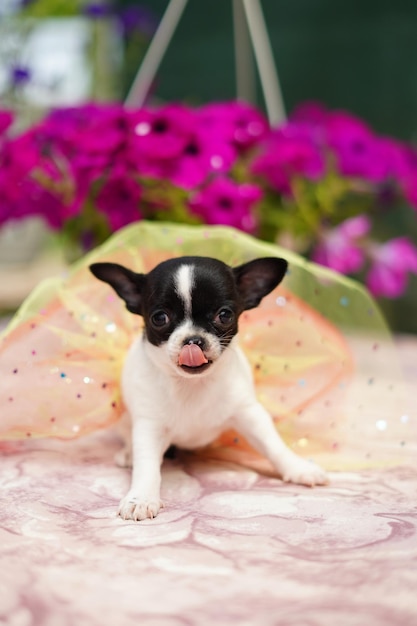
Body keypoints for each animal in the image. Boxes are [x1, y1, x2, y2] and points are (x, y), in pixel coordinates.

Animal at [89, 256, 326, 520]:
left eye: (225, 315)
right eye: (159, 318)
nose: (193, 341)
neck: (192, 384)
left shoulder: (250, 414)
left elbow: (273, 445)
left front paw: (298, 467)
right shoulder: (150, 426)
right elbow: (147, 465)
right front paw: (140, 497)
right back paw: (128, 453)